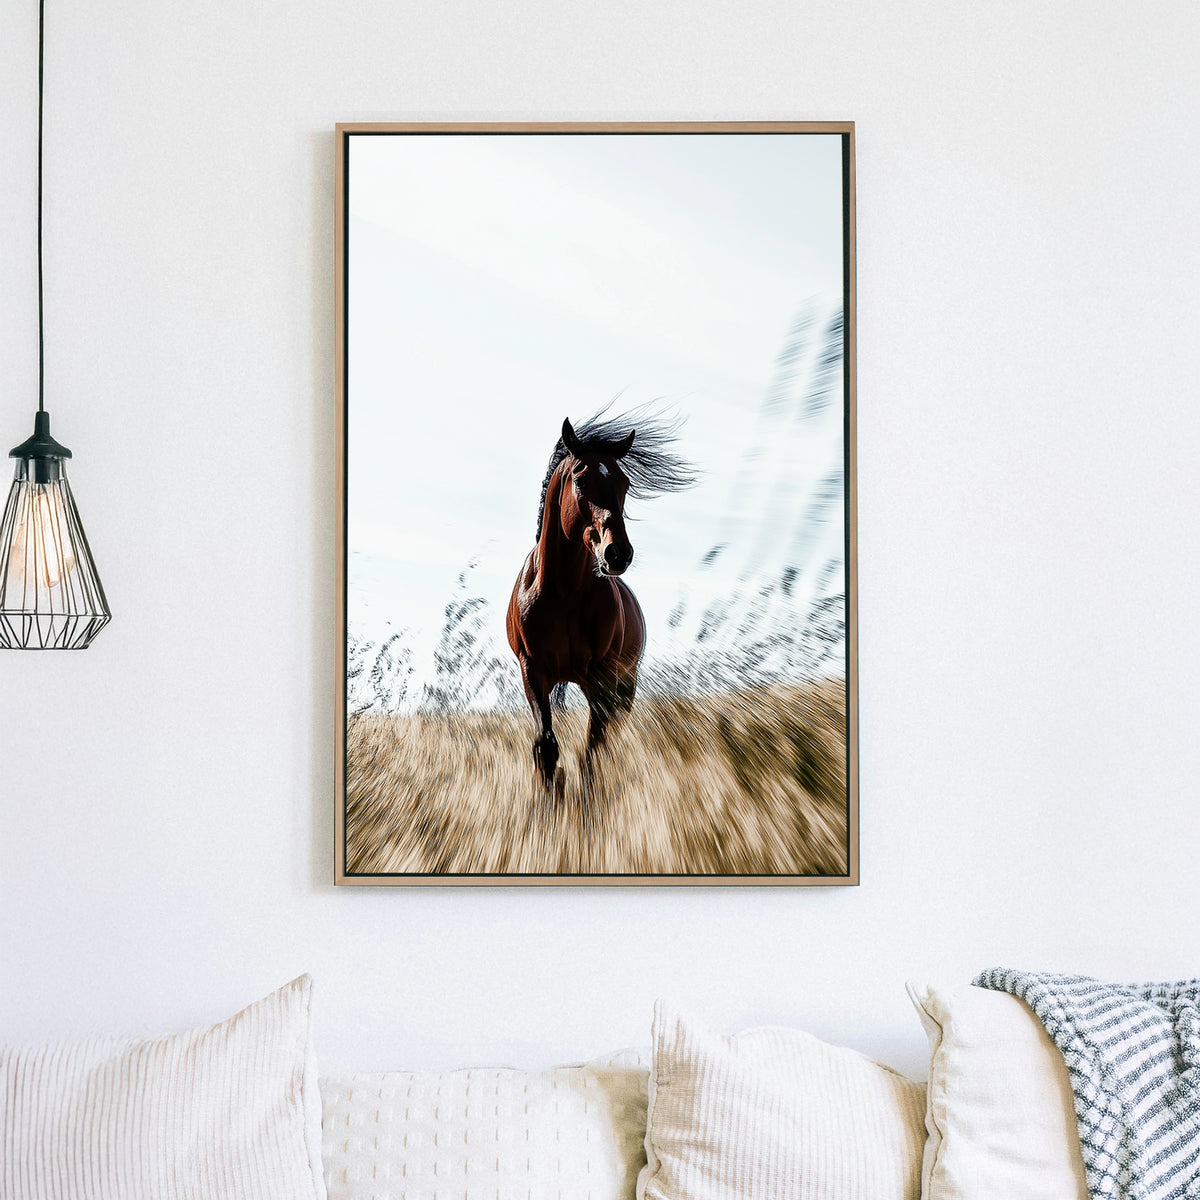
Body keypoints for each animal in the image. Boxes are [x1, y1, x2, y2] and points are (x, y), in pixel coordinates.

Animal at [506, 408, 695, 792]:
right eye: (580, 481)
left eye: (625, 483)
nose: (617, 553)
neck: (561, 594)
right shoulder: (533, 671)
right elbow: (546, 747)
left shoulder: (602, 678)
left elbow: (592, 751)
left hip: (624, 685)